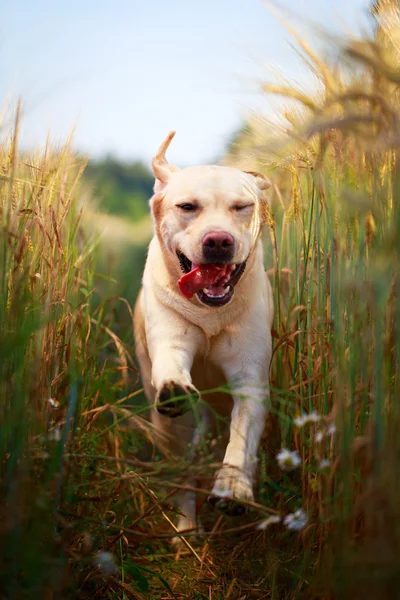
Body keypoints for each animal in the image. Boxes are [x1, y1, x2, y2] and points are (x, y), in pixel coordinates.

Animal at [133, 131, 274, 540]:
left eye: (242, 206)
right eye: (187, 206)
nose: (218, 241)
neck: (211, 313)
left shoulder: (250, 380)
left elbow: (242, 438)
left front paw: (233, 487)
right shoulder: (171, 340)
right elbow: (172, 362)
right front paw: (175, 386)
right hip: (167, 427)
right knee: (182, 467)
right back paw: (186, 528)